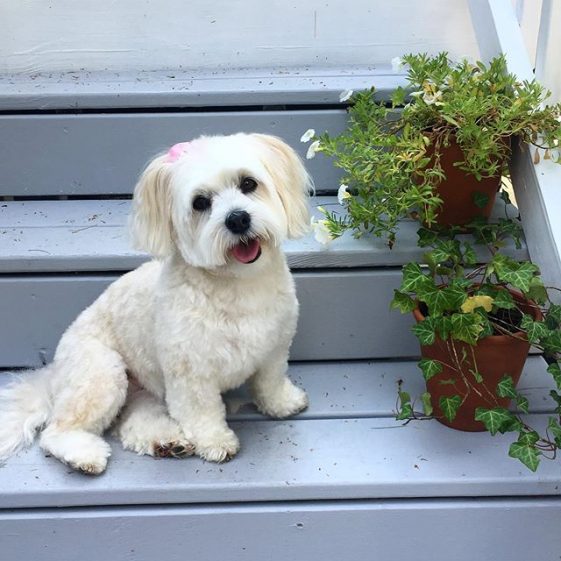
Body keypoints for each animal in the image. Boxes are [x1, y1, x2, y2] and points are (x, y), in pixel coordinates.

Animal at [0, 133, 310, 474]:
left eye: (248, 183)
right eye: (200, 203)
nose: (237, 219)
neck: (239, 285)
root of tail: (53, 374)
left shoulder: (275, 348)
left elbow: (270, 381)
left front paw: (282, 403)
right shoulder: (190, 372)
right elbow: (200, 411)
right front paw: (215, 441)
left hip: (143, 393)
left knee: (132, 423)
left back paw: (165, 441)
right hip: (101, 373)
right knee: (59, 430)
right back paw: (84, 455)